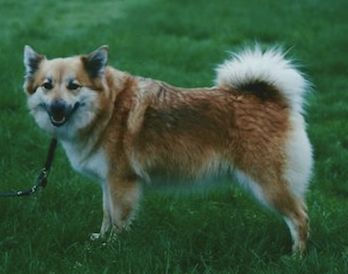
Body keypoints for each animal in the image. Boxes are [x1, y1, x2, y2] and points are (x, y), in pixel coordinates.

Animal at [23, 44, 312, 255]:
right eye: (47, 85)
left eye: (74, 86)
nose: (57, 108)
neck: (108, 110)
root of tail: (271, 98)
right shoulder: (108, 182)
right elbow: (107, 214)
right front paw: (100, 239)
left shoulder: (121, 182)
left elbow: (118, 219)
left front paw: (112, 247)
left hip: (268, 185)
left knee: (300, 218)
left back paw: (296, 257)